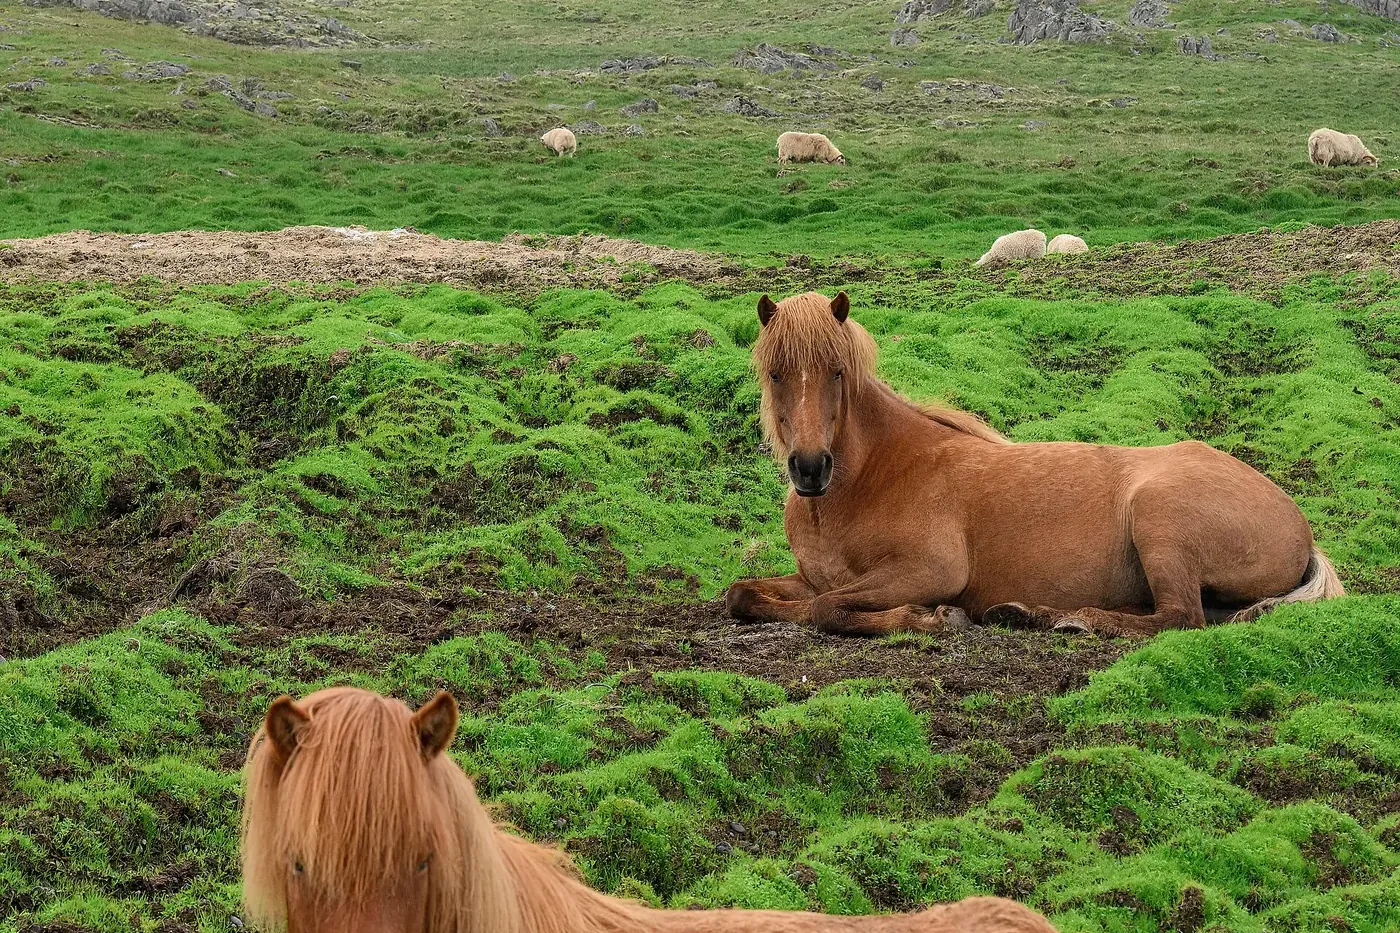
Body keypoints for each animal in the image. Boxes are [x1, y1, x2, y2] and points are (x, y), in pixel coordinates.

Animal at [724, 291, 1343, 637]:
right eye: (775, 373)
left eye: (836, 372)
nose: (810, 469)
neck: (870, 479)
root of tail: (1300, 525)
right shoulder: (810, 577)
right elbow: (746, 595)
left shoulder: (929, 571)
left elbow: (828, 609)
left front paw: (931, 619)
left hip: (1160, 517)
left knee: (1178, 618)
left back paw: (1059, 618)